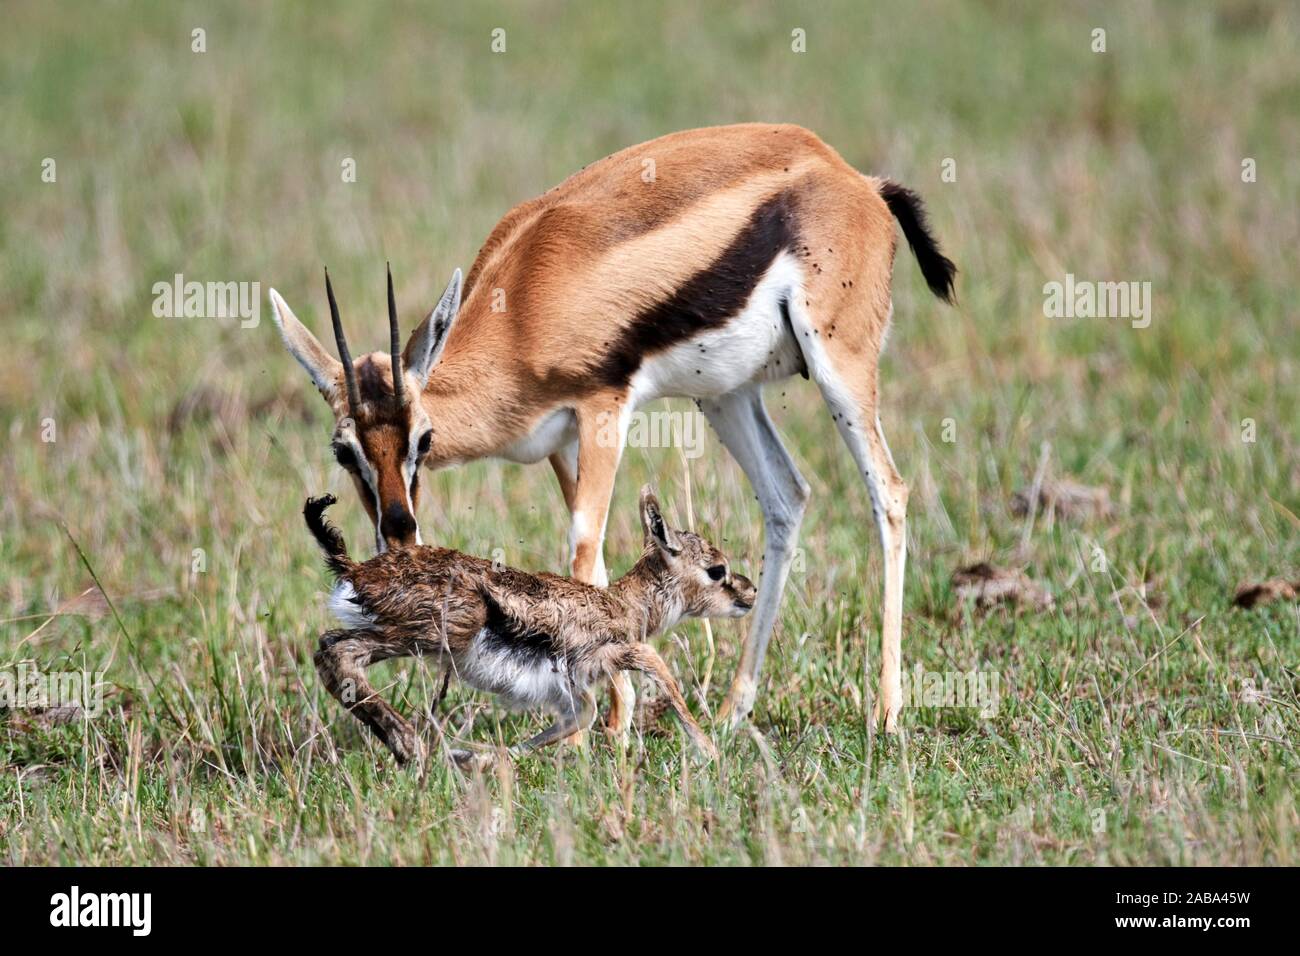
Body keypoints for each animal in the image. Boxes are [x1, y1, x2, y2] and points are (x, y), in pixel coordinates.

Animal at [305, 487, 755, 763]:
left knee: (327, 647)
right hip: (439, 633)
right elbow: (664, 679)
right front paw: (713, 754)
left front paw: (477, 759)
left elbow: (579, 718)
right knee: (339, 652)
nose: (749, 592)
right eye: (717, 570)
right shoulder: (621, 654)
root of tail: (356, 570)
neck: (624, 605)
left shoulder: (573, 693)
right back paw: (411, 747)